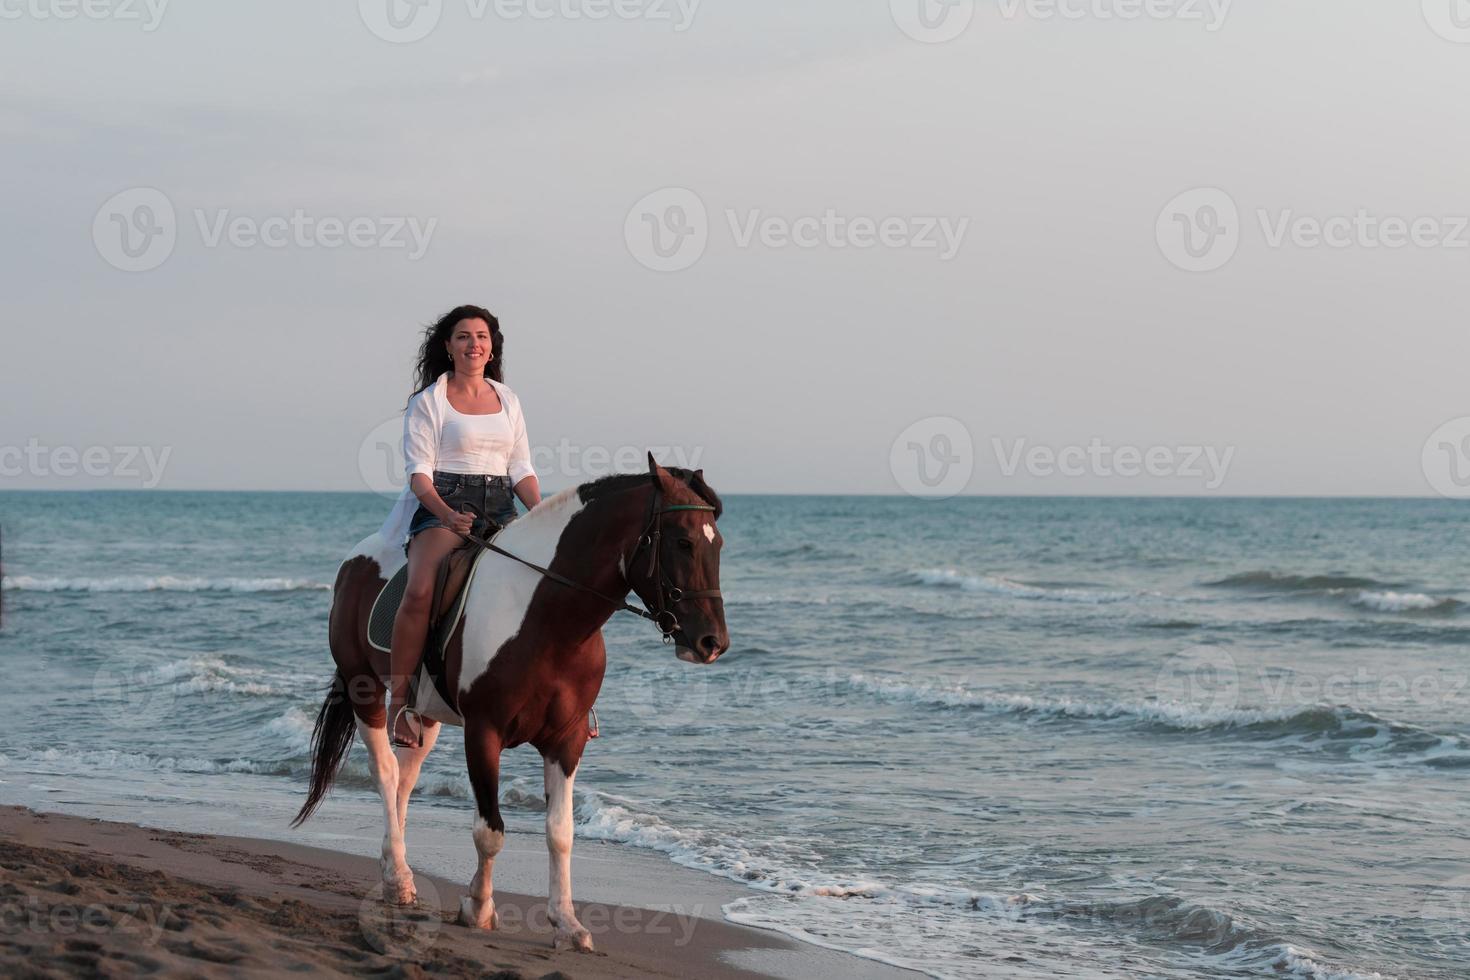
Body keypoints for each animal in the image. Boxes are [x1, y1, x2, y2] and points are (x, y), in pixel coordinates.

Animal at [289, 458, 726, 952]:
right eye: (683, 542)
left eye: (718, 544)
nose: (712, 642)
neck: (548, 620)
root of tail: (356, 560)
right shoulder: (484, 732)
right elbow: (490, 831)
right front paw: (478, 908)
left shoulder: (567, 740)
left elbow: (560, 832)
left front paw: (566, 923)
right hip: (364, 690)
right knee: (384, 773)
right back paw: (399, 878)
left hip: (424, 715)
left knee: (405, 778)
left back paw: (392, 872)